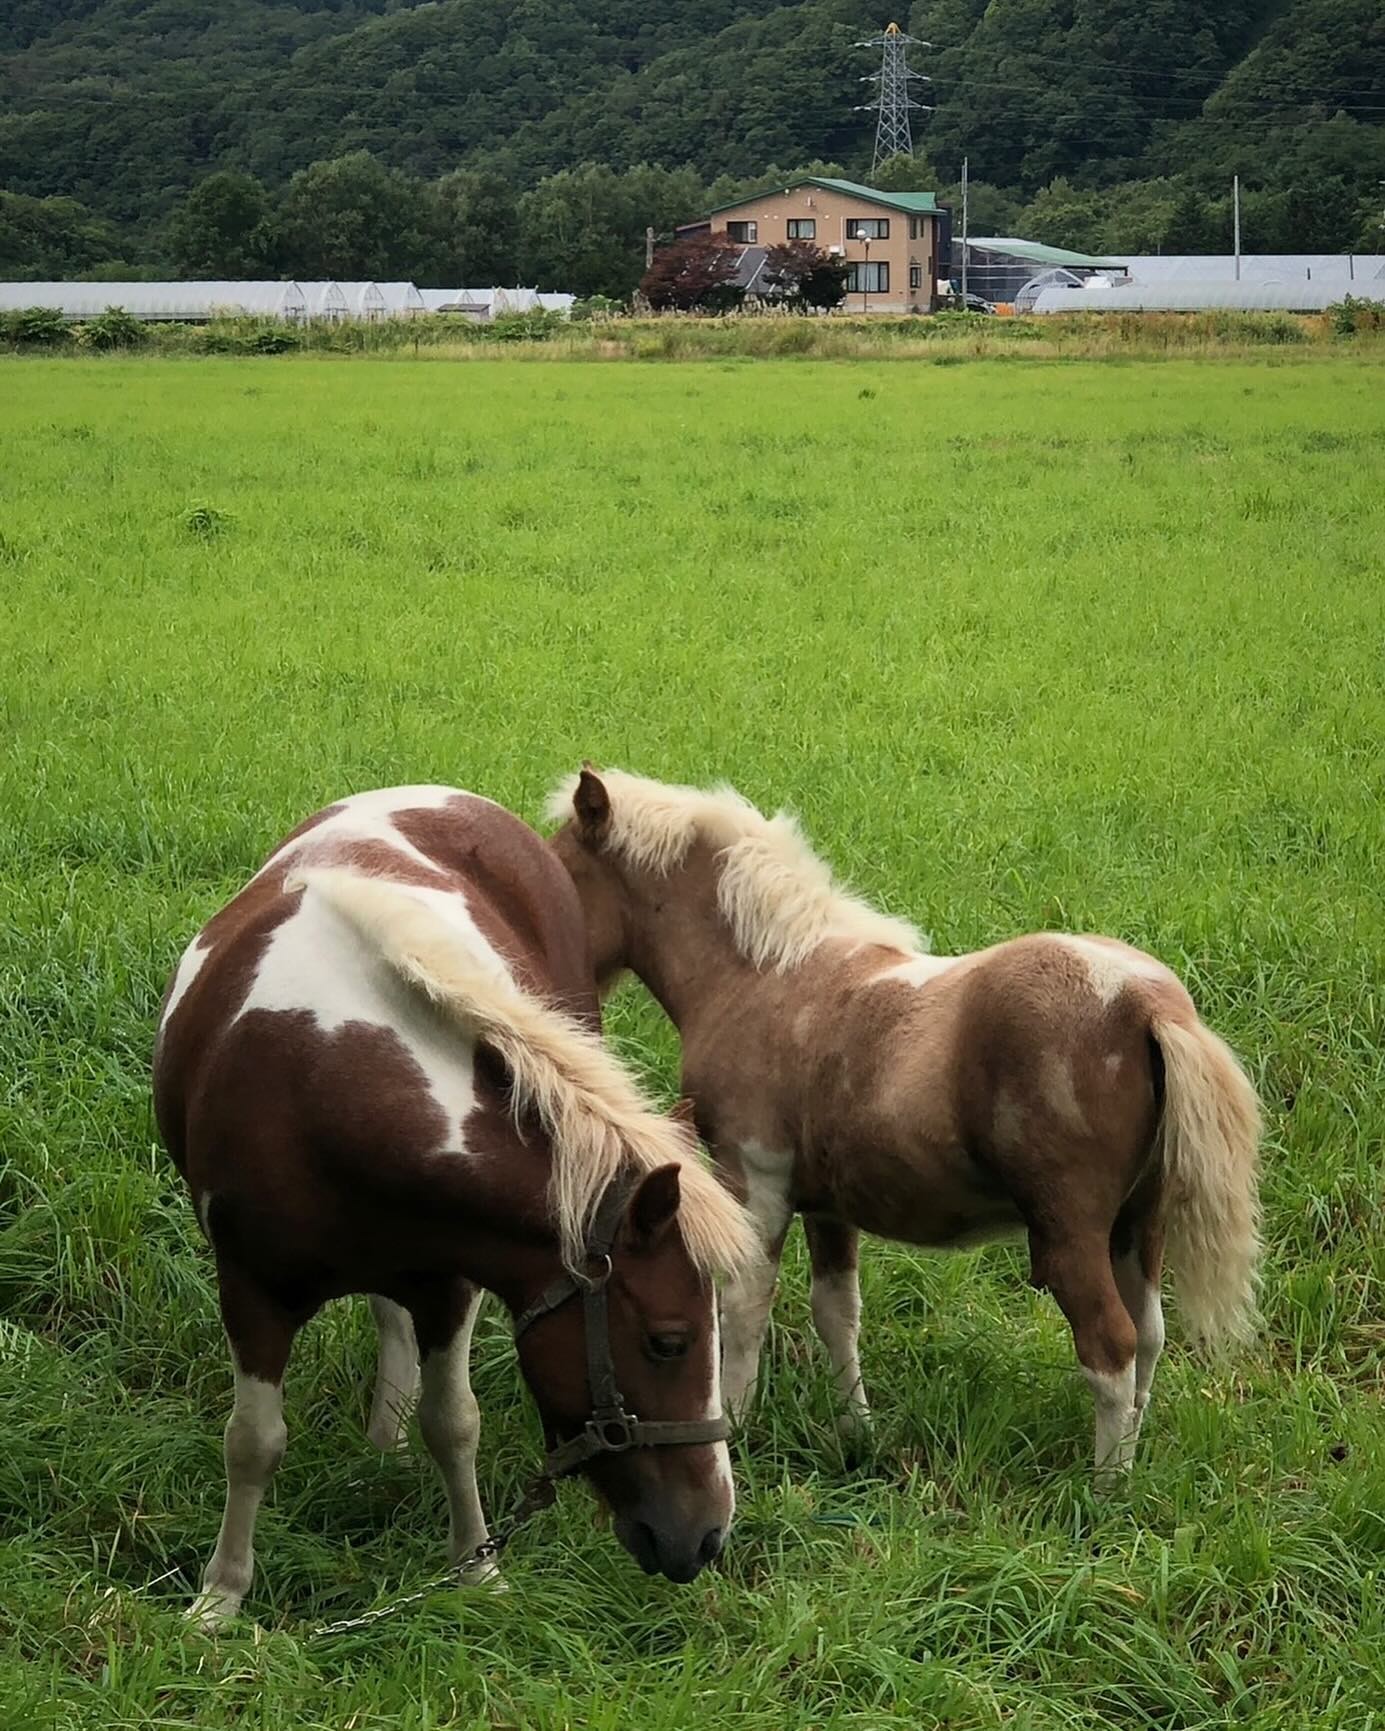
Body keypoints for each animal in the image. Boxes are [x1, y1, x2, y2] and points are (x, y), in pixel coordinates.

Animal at [153, 784, 756, 1628]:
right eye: (668, 1341)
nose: (707, 1536)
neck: (321, 1086)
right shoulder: (252, 1290)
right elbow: (253, 1440)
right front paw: (221, 1596)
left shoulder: (451, 1282)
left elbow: (453, 1422)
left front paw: (477, 1568)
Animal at [547, 768, 1262, 1486]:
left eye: (562, 869)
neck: (762, 974)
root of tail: (1147, 1005)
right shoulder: (827, 1206)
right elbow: (837, 1314)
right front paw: (854, 1431)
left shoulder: (755, 1179)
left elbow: (743, 1306)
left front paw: (739, 1426)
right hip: (1139, 1222)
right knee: (1150, 1335)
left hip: (1071, 1231)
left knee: (1110, 1345)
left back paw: (1106, 1488)